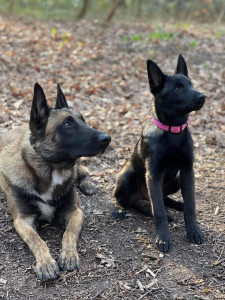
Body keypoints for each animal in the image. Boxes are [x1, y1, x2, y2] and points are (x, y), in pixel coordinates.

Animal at [112, 55, 206, 252]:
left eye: (191, 84)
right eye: (178, 88)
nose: (203, 96)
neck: (172, 132)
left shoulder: (187, 171)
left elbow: (191, 206)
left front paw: (193, 231)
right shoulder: (153, 175)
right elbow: (159, 212)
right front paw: (163, 239)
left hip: (175, 180)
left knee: (160, 198)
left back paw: (177, 204)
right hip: (127, 173)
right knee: (123, 199)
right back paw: (120, 209)